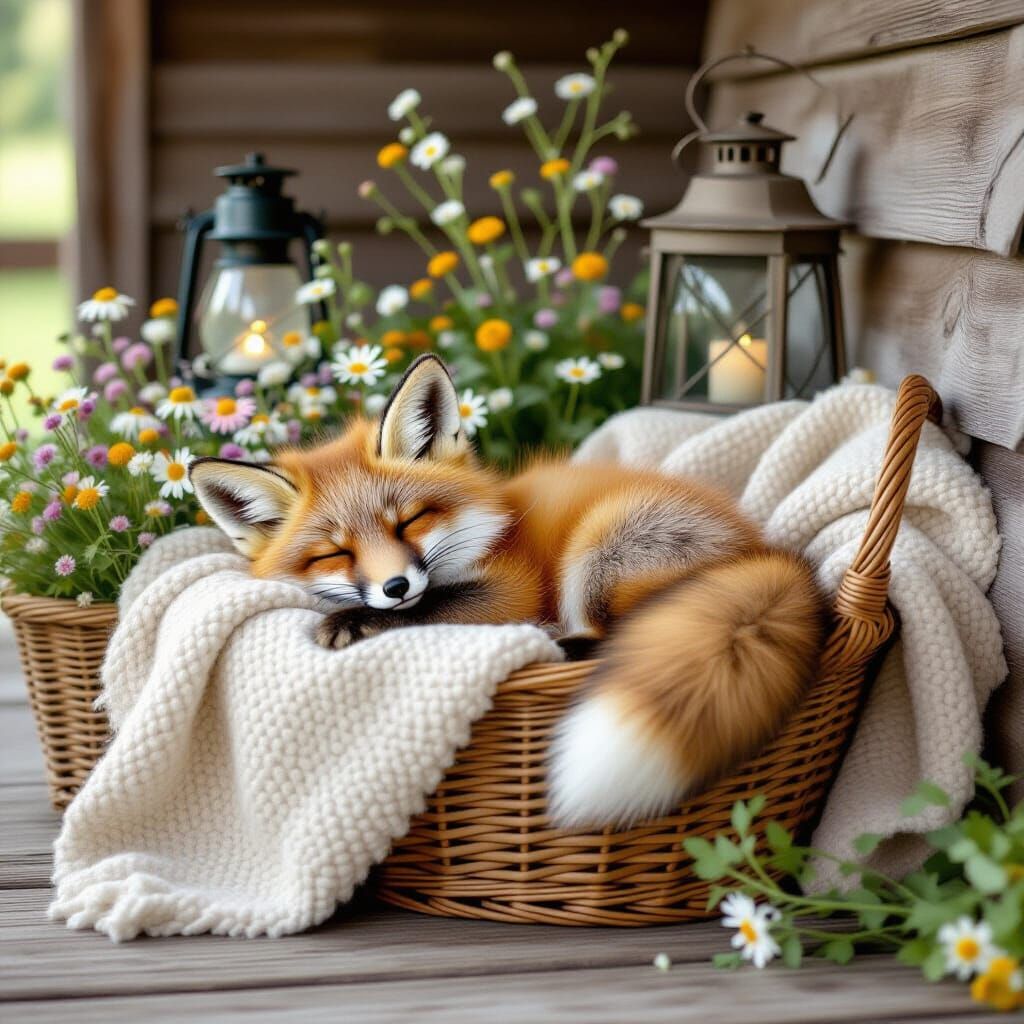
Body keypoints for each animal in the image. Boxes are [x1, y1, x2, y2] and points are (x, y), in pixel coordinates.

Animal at [189, 354, 827, 828]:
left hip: (599, 552)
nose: (395, 586)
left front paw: (353, 623)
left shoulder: (510, 589)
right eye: (334, 554)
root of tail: (771, 553)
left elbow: (435, 607)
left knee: (619, 634)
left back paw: (559, 642)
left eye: (409, 522)